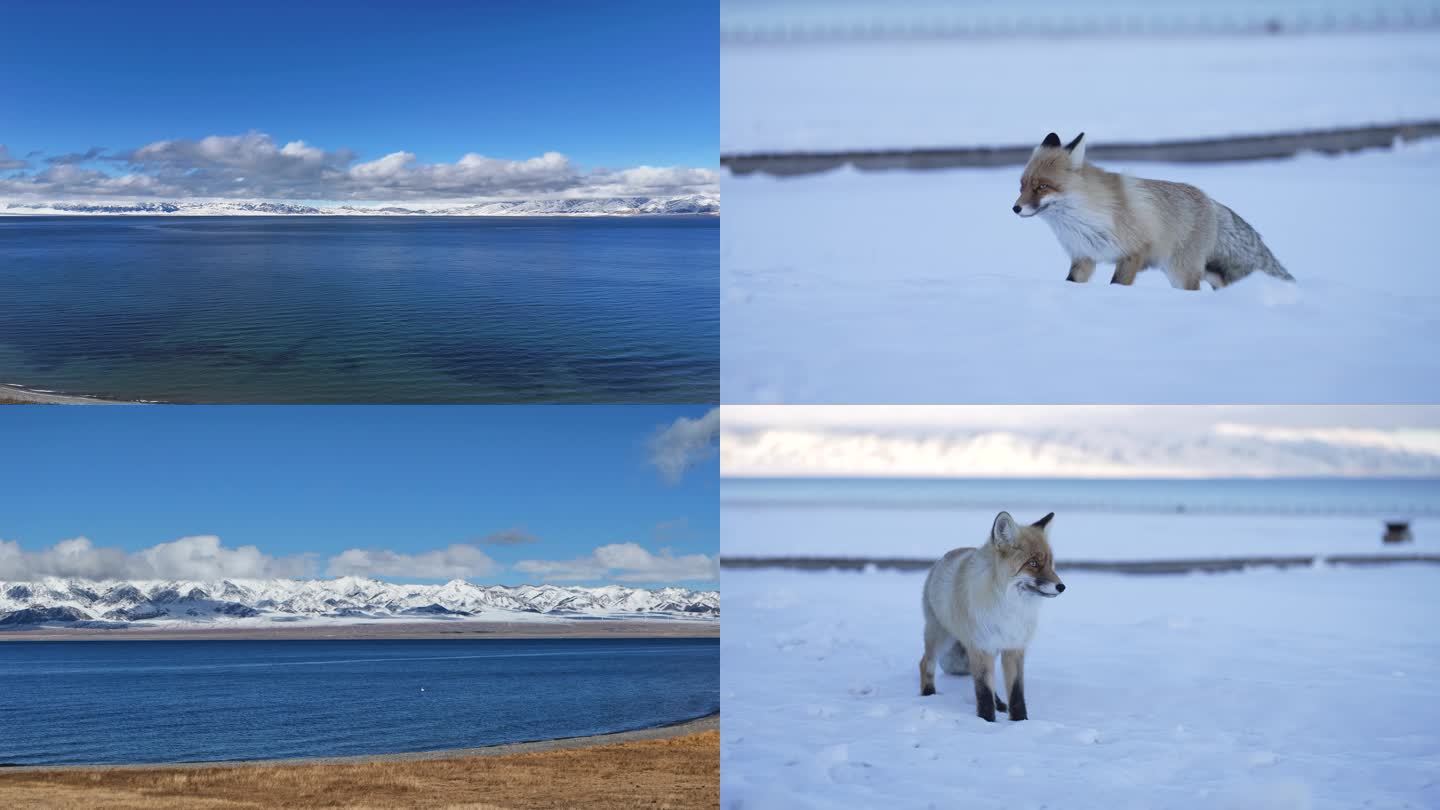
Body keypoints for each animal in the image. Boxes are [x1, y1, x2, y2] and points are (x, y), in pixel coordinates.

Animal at [915, 510, 1065, 717]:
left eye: (1051, 564)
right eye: (1033, 563)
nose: (1062, 587)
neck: (1009, 608)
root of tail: (943, 558)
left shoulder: (1013, 647)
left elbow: (1016, 693)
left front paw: (1020, 720)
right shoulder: (981, 647)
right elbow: (983, 692)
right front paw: (986, 720)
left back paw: (1000, 703)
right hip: (940, 637)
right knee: (925, 663)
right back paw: (928, 693)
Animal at [1013, 128, 1296, 286]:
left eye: (1042, 187)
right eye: (1022, 185)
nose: (1015, 209)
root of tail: (1210, 200)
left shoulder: (1133, 254)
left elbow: (1118, 285)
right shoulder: (1084, 259)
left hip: (1181, 272)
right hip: (1198, 271)